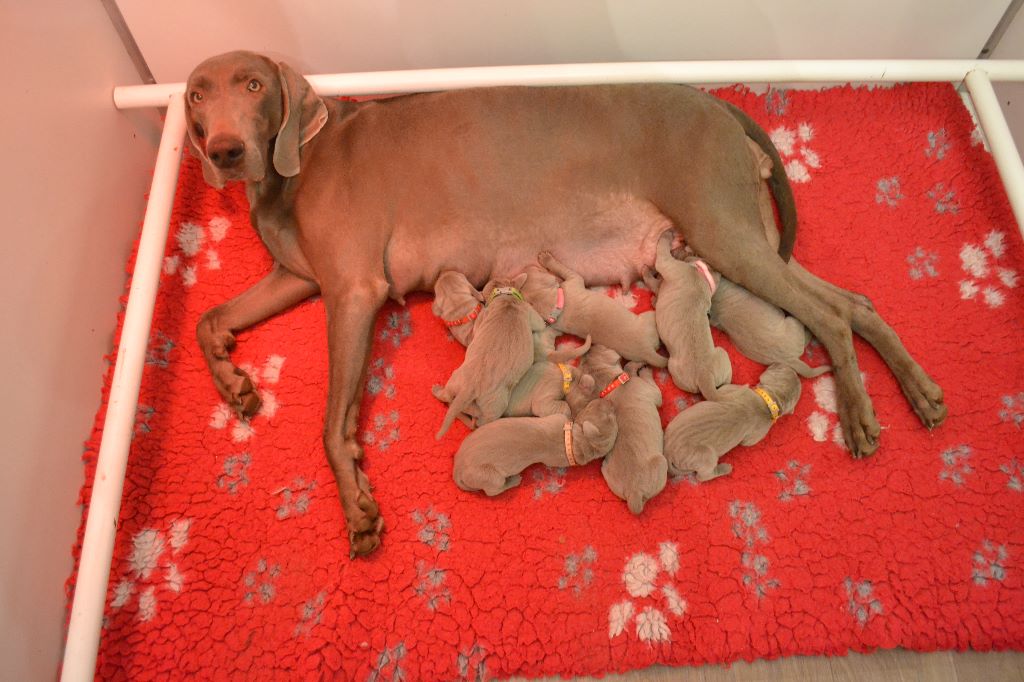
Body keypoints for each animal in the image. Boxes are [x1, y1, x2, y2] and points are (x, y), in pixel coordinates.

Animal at [453, 399, 618, 497]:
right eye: (610, 417)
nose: (610, 401)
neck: (578, 440)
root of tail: (458, 470)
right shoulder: (559, 419)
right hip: (488, 475)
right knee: (492, 491)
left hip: (489, 477)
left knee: (492, 490)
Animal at [519, 254, 667, 368]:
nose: (525, 267)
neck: (555, 306)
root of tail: (648, 351)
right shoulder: (574, 278)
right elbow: (562, 268)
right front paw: (546, 258)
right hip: (649, 318)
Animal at [643, 230, 732, 399]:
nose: (681, 242)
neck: (703, 275)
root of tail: (705, 377)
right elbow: (657, 287)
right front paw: (654, 299)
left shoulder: (668, 266)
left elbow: (661, 254)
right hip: (722, 355)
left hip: (675, 369)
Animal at [663, 364, 801, 481]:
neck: (770, 403)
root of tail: (668, 450)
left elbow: (745, 443)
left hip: (705, 455)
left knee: (703, 477)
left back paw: (725, 468)